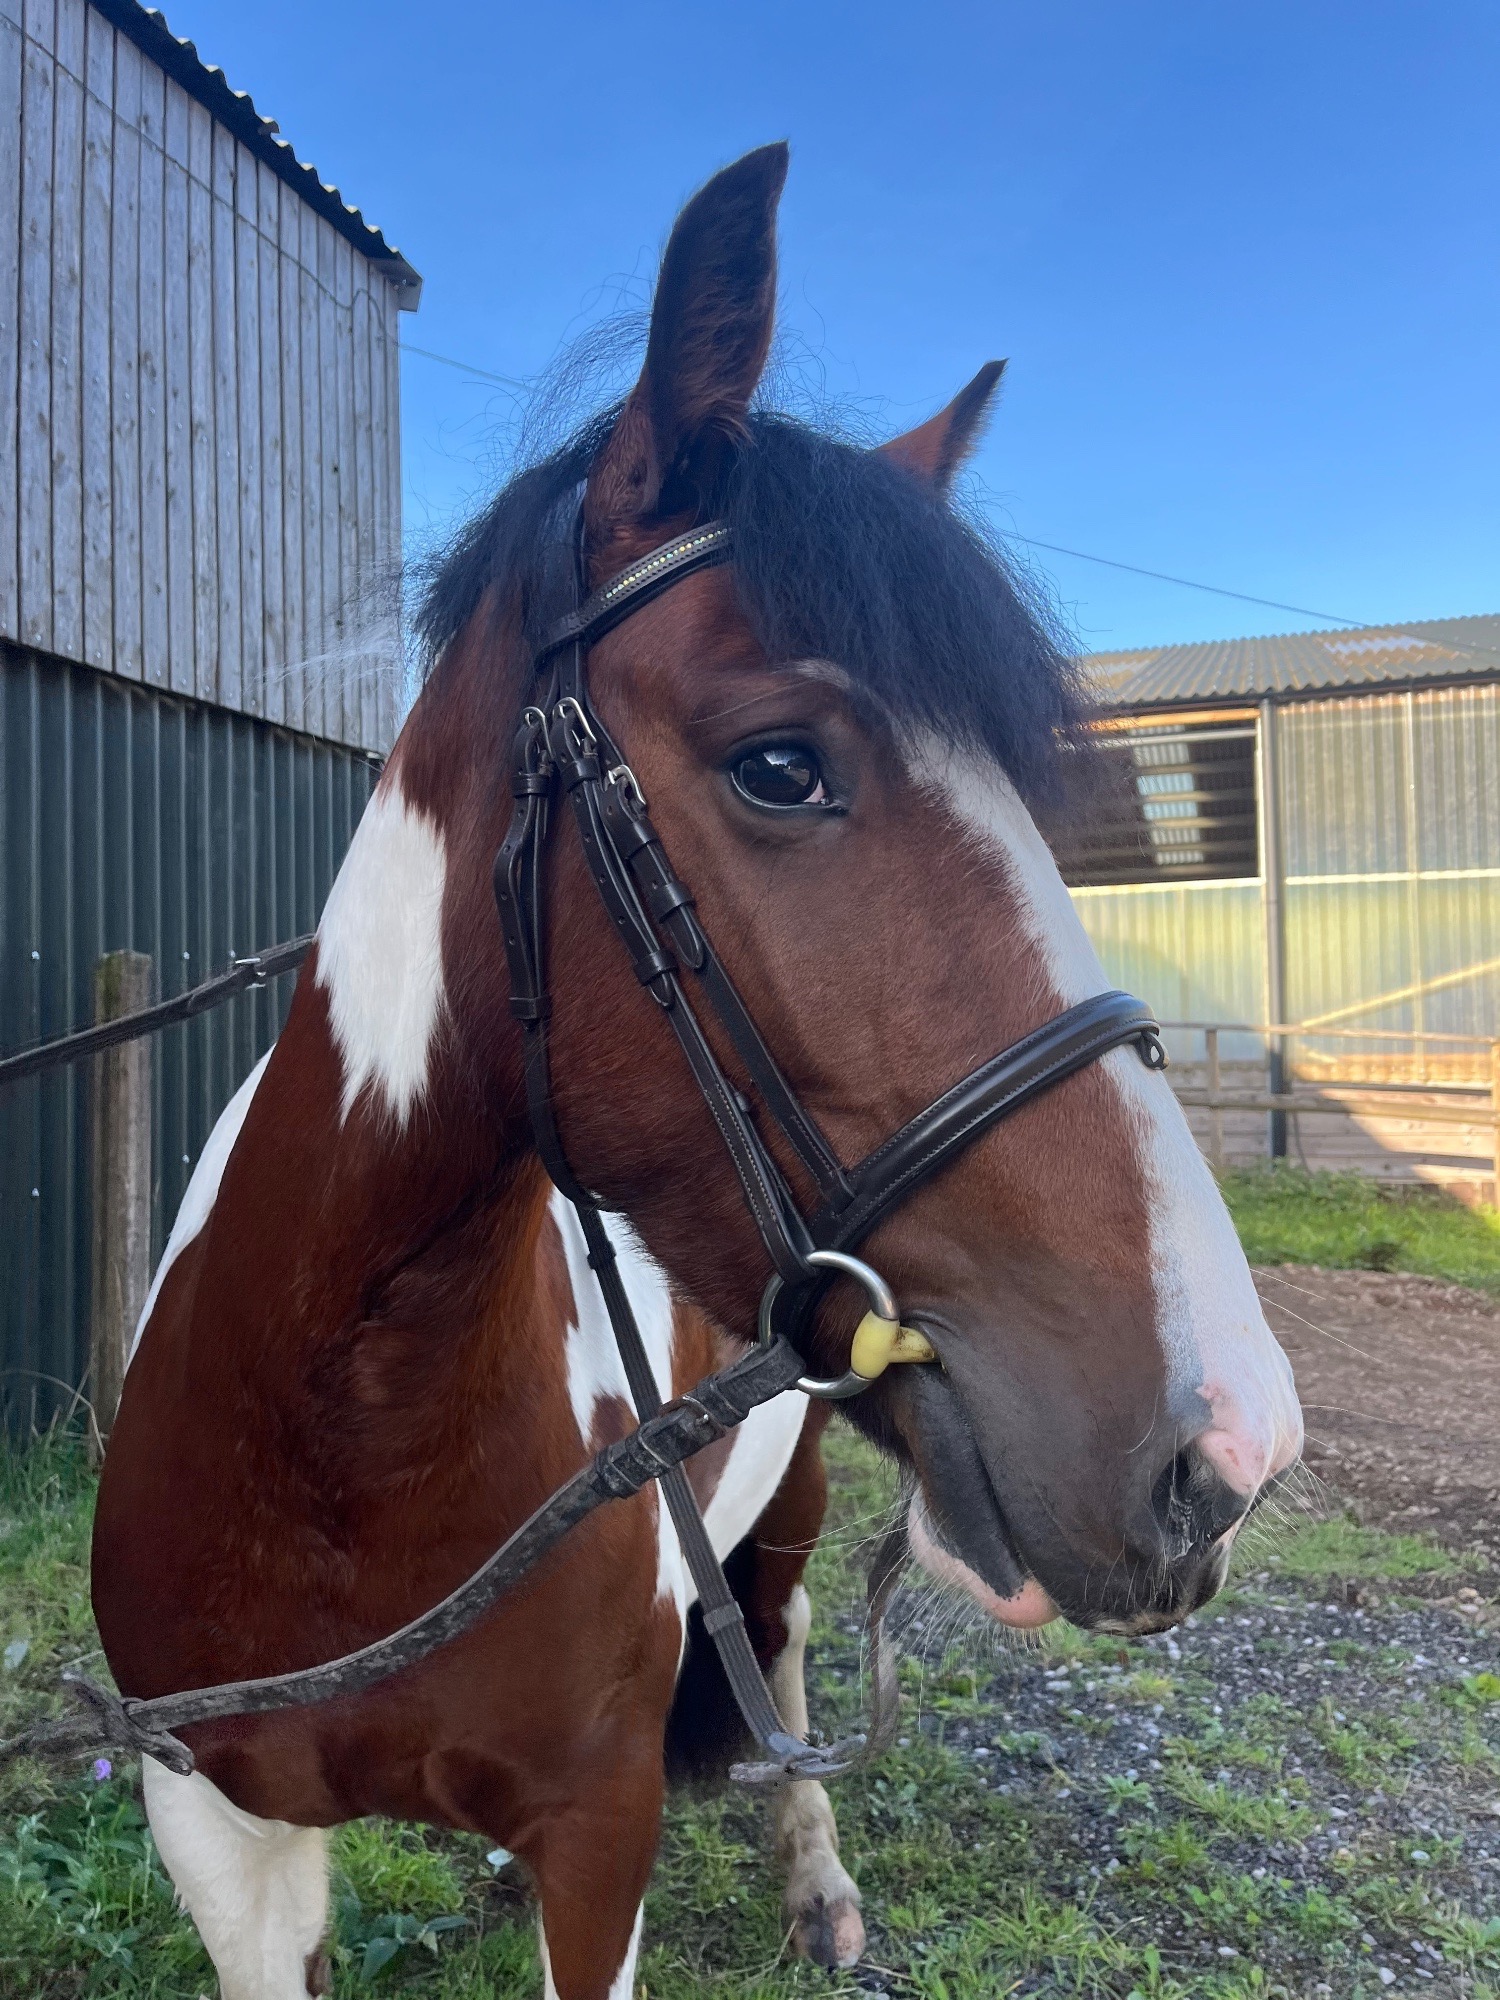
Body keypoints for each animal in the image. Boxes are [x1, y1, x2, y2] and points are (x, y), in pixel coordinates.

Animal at [91, 143, 1303, 2000]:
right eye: (780, 765)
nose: (1228, 1443)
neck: (340, 1441)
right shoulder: (220, 1840)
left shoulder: (601, 1836)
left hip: (793, 1496)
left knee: (789, 1636)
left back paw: (818, 1884)